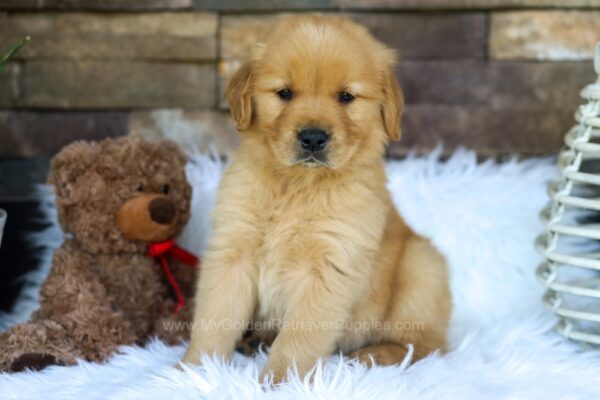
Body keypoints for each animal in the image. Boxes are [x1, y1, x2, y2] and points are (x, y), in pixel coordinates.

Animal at [183, 14, 450, 382]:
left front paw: (281, 382)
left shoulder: (329, 266)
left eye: (346, 96)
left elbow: (299, 337)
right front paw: (195, 372)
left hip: (423, 266)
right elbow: (215, 316)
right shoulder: (232, 251)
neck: (299, 184)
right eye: (284, 93)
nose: (312, 138)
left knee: (428, 344)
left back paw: (375, 354)